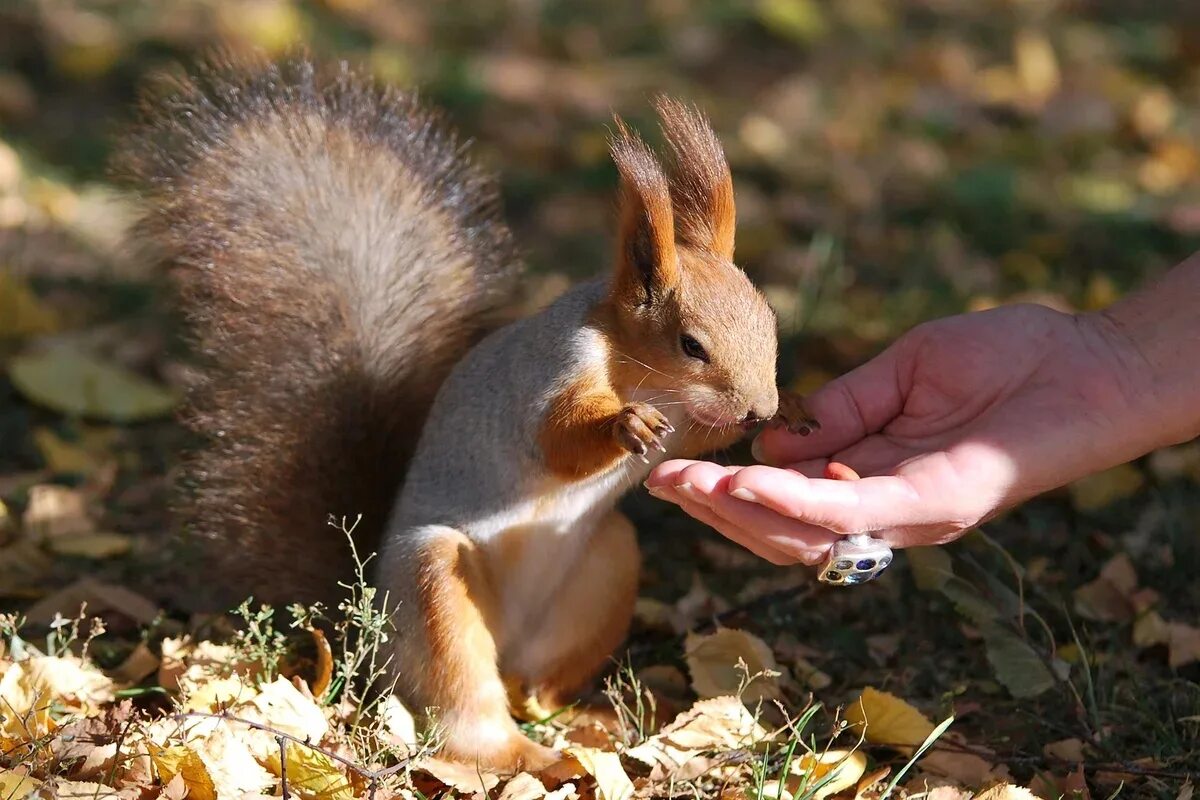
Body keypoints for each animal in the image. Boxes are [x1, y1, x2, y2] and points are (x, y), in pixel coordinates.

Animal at [117, 54, 816, 767]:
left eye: (770, 320)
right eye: (691, 345)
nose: (759, 405)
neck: (643, 376)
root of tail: (365, 633)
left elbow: (696, 440)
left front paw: (790, 414)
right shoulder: (554, 370)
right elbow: (556, 442)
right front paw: (627, 423)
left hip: (605, 567)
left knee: (535, 685)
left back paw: (585, 720)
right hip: (435, 588)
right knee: (465, 708)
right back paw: (526, 756)